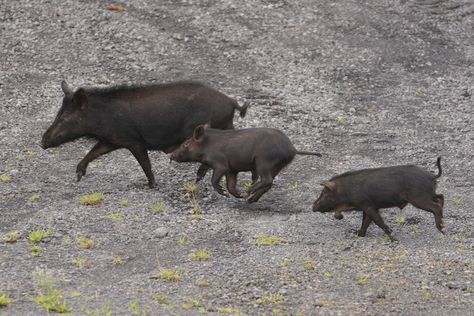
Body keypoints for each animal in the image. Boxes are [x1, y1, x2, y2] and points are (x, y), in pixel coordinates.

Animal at [41, 80, 248, 188]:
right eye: (58, 112)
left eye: (66, 117)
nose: (42, 142)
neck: (102, 116)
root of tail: (231, 102)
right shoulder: (112, 140)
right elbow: (93, 152)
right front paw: (78, 175)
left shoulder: (134, 140)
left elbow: (145, 163)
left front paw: (151, 185)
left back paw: (197, 178)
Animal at [168, 124, 320, 202]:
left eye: (186, 144)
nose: (171, 155)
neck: (207, 147)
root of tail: (293, 149)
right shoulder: (232, 170)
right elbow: (230, 186)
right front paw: (237, 195)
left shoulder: (221, 164)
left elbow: (215, 180)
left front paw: (225, 194)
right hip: (277, 166)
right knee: (269, 183)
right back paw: (249, 199)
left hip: (263, 161)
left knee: (267, 180)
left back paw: (248, 192)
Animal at [312, 157, 442, 241]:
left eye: (324, 193)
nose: (313, 206)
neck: (345, 190)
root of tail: (432, 176)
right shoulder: (367, 207)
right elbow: (365, 222)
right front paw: (359, 235)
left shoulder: (368, 206)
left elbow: (378, 222)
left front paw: (393, 239)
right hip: (428, 194)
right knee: (441, 197)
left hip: (418, 198)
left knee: (436, 206)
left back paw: (441, 228)